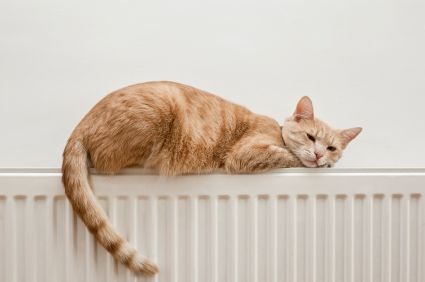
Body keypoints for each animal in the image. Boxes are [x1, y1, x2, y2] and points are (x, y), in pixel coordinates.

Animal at [62, 80, 362, 274]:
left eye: (332, 147)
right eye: (310, 137)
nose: (320, 155)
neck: (277, 132)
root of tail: (82, 123)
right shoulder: (244, 154)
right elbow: (288, 156)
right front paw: (313, 163)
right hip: (160, 110)